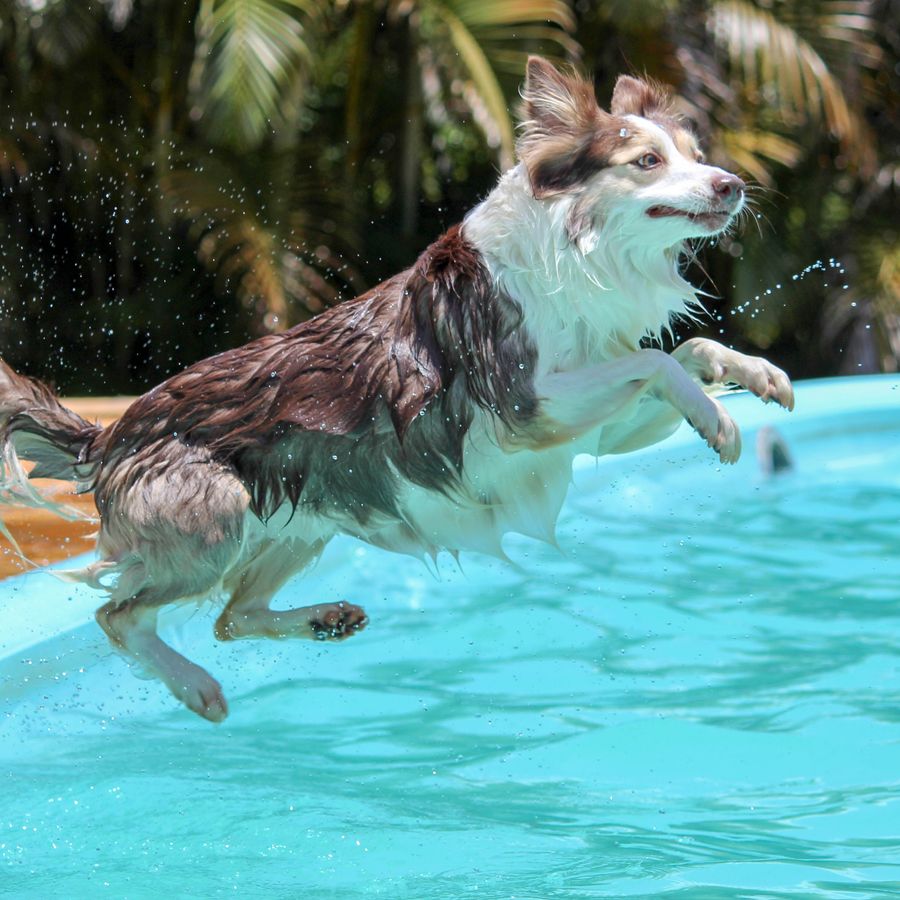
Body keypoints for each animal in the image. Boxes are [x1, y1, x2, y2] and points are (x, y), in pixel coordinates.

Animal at [0, 59, 796, 720]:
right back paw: (197, 687)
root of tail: (106, 435)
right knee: (119, 615)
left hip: (304, 518)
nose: (732, 185)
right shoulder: (527, 407)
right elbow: (655, 364)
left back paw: (325, 619)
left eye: (695, 153)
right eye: (648, 161)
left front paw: (752, 376)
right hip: (213, 518)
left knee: (231, 617)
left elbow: (682, 353)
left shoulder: (588, 425)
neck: (578, 252)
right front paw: (721, 423)